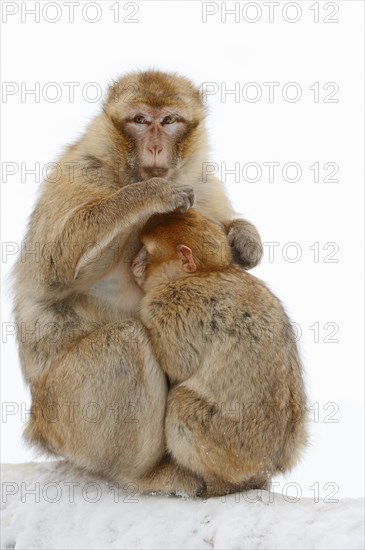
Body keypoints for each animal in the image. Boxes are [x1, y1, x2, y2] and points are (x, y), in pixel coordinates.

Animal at [132, 209, 308, 498]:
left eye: (146, 251)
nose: (134, 262)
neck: (205, 272)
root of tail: (268, 463)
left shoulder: (167, 303)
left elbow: (178, 364)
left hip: (229, 449)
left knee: (181, 405)